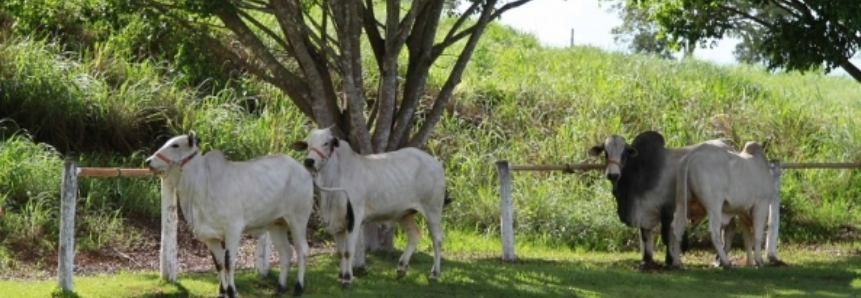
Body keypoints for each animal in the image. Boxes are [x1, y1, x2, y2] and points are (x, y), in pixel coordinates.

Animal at [146, 133, 314, 298]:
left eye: (175, 145)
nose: (148, 161)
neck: (203, 184)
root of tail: (302, 169)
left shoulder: (233, 229)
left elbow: (229, 262)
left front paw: (232, 291)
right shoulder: (209, 237)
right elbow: (219, 263)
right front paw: (222, 291)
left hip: (298, 219)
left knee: (302, 250)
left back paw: (298, 288)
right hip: (277, 224)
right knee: (286, 253)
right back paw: (279, 288)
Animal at [290, 126, 450, 288]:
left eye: (326, 143)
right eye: (308, 144)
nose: (309, 161)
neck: (335, 178)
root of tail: (437, 164)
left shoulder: (353, 219)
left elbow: (348, 251)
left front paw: (347, 278)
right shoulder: (336, 222)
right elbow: (340, 252)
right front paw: (340, 277)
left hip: (433, 209)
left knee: (437, 238)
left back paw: (434, 273)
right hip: (405, 213)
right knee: (414, 234)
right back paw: (401, 268)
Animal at [588, 131, 736, 270]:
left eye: (623, 153)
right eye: (606, 153)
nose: (613, 174)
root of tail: (727, 145)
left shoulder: (667, 209)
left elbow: (666, 236)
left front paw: (670, 260)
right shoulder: (644, 212)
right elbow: (645, 236)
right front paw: (646, 261)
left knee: (727, 230)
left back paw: (720, 260)